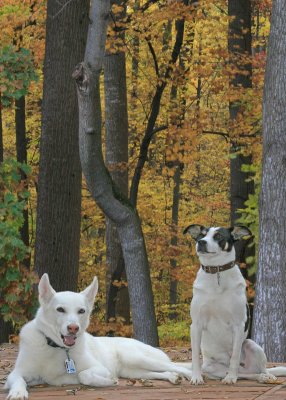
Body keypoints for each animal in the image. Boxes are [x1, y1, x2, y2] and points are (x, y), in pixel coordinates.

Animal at [5, 274, 192, 400]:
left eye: (81, 311)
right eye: (60, 309)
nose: (73, 328)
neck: (57, 348)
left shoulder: (99, 367)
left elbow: (84, 375)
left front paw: (108, 381)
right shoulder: (17, 373)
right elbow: (18, 380)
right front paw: (18, 392)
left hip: (136, 358)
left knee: (177, 366)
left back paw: (190, 376)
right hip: (132, 370)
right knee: (162, 372)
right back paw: (172, 377)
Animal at [183, 225, 286, 384]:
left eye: (218, 236)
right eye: (201, 235)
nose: (201, 242)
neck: (216, 273)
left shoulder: (238, 325)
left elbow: (235, 357)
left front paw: (230, 378)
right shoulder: (196, 324)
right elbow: (194, 356)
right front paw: (196, 377)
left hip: (252, 344)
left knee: (256, 369)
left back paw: (265, 376)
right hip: (212, 368)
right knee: (245, 374)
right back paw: (258, 377)